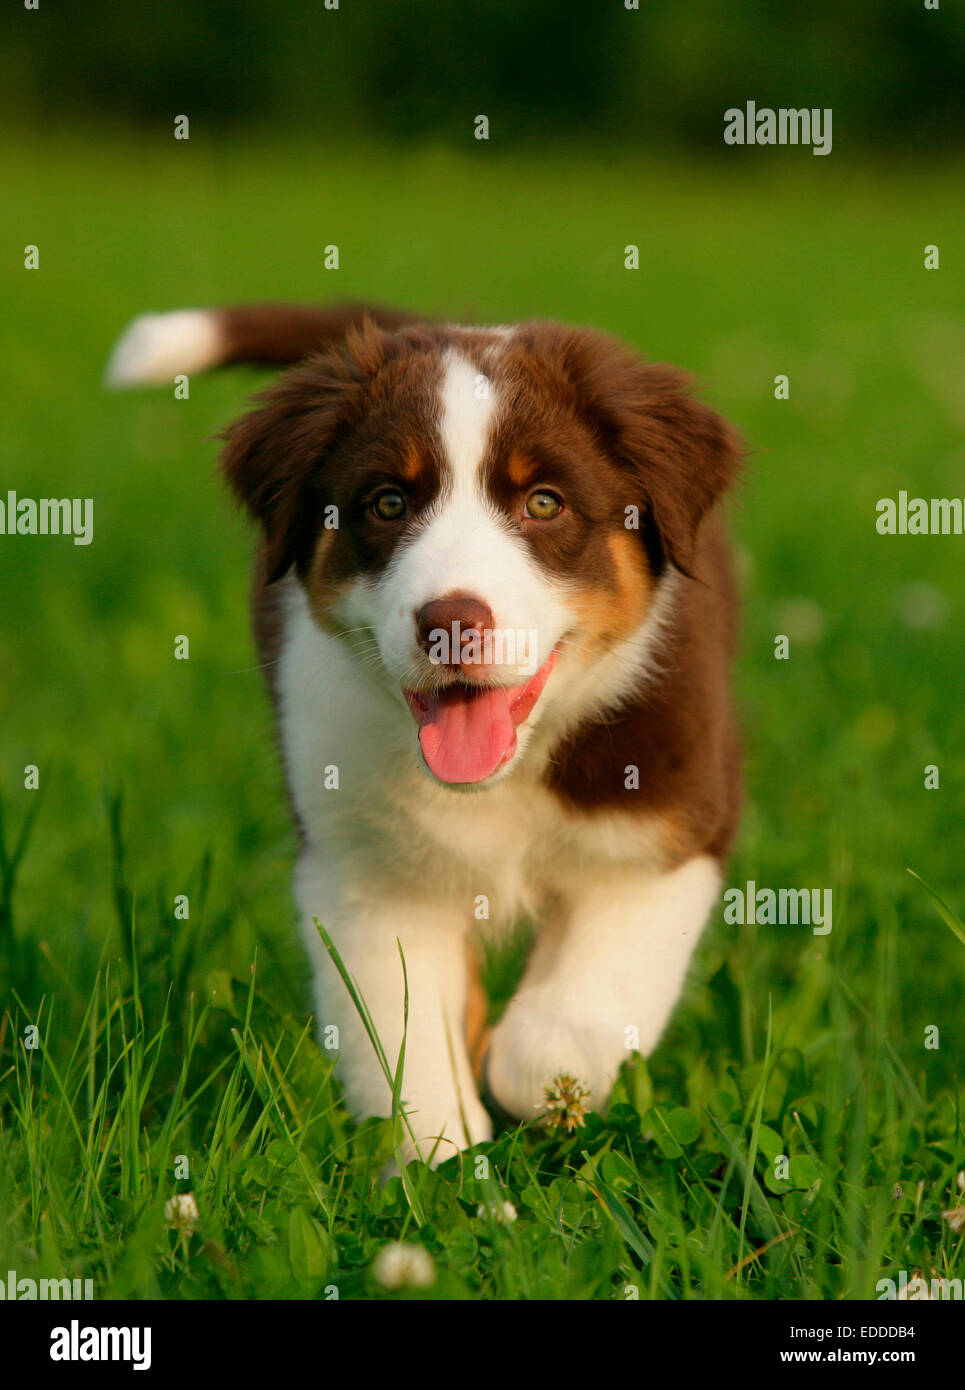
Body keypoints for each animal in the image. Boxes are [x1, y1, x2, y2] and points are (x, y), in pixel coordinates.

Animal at [105, 301, 745, 1162]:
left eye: (544, 503)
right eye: (386, 503)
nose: (450, 621)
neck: (502, 780)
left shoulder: (665, 834)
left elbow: (570, 1022)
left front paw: (532, 1082)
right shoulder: (363, 873)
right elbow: (395, 1037)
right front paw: (438, 1160)